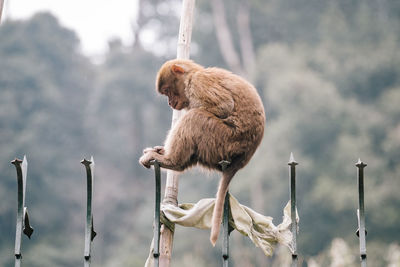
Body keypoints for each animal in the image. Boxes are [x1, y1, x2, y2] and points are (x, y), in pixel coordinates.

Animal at [139, 59, 264, 247]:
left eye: (168, 91)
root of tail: (241, 160)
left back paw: (170, 160)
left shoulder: (198, 83)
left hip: (222, 141)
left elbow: (224, 106)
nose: (169, 103)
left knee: (194, 117)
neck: (192, 74)